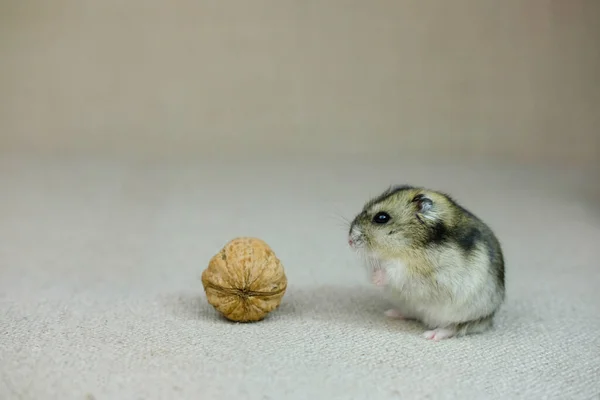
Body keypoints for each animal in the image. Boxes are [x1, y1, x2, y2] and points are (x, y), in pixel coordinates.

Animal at [346, 185, 506, 340]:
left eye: (381, 217)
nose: (349, 241)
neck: (407, 247)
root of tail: (488, 319)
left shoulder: (423, 274)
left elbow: (395, 272)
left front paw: (377, 277)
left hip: (465, 315)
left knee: (457, 328)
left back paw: (432, 335)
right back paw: (391, 313)